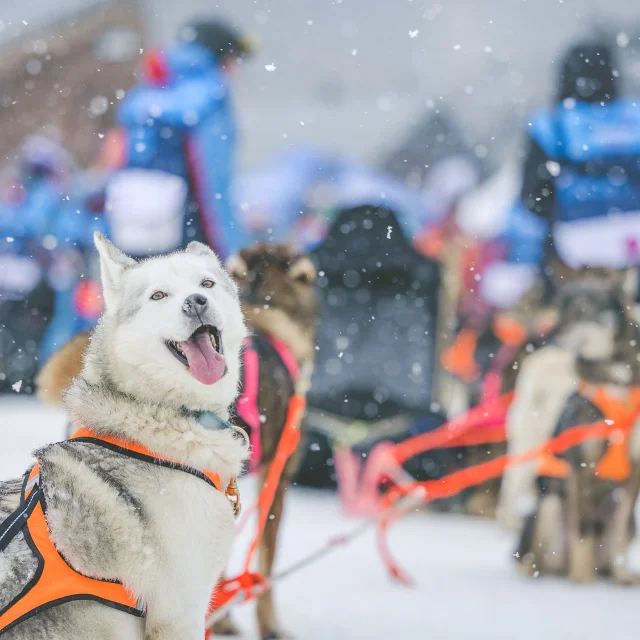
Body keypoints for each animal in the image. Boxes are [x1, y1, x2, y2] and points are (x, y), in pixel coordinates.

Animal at [37, 244, 318, 640]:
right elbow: (265, 563)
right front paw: (268, 626)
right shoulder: (275, 478)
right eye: (159, 295)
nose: (196, 301)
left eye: (207, 284)